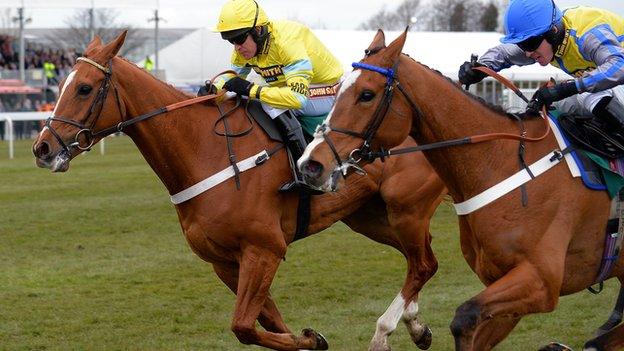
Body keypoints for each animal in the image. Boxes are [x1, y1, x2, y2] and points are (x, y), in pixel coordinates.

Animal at [31, 31, 448, 350]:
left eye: (84, 88)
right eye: (60, 85)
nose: (42, 148)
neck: (204, 150)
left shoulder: (263, 250)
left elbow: (244, 326)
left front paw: (312, 339)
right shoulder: (224, 262)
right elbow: (269, 322)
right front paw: (308, 337)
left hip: (405, 209)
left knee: (423, 263)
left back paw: (391, 329)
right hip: (370, 217)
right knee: (420, 259)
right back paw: (416, 325)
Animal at [298, 28, 624, 350]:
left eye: (367, 95)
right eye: (338, 88)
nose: (310, 164)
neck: (502, 161)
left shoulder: (541, 281)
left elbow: (464, 316)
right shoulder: (504, 286)